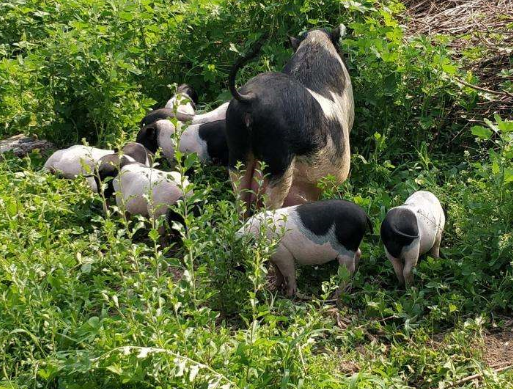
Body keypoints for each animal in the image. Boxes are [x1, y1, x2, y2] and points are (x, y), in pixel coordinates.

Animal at [236, 200, 372, 298]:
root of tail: (364, 214)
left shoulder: (283, 253)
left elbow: (288, 272)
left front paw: (288, 294)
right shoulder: (274, 257)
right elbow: (277, 271)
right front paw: (275, 286)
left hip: (346, 250)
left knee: (348, 270)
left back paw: (336, 295)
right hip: (352, 247)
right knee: (359, 253)